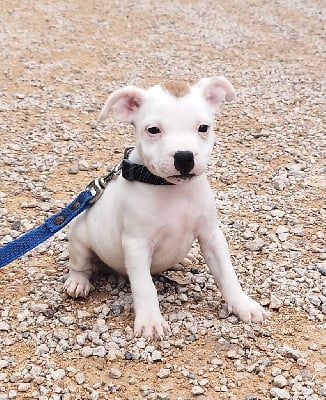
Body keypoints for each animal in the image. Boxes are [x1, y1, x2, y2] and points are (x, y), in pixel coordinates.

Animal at [65, 76, 268, 336]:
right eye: (153, 130)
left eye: (203, 127)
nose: (184, 157)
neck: (172, 190)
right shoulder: (137, 245)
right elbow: (144, 287)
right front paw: (151, 321)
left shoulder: (211, 235)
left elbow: (226, 273)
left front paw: (242, 304)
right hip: (79, 238)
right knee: (81, 264)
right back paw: (78, 282)